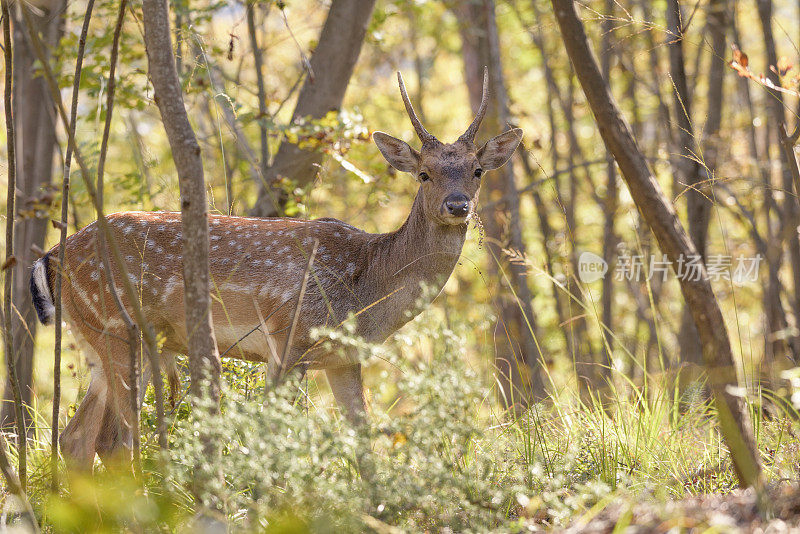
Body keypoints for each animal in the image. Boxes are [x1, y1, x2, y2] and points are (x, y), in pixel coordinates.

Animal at [28, 70, 520, 468]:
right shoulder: (289, 340)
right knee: (113, 441)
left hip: (102, 341)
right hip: (120, 329)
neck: (367, 289)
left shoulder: (343, 359)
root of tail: (50, 257)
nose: (457, 205)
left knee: (75, 439)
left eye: (477, 170)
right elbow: (277, 439)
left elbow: (363, 446)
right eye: (424, 173)